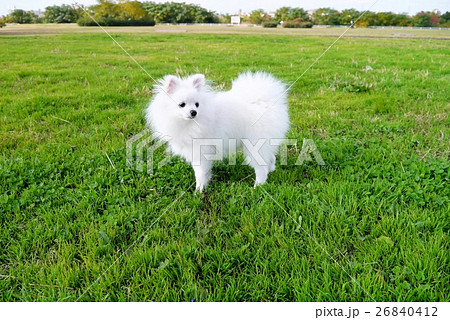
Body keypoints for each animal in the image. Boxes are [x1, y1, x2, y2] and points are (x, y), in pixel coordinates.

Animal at [146, 72, 290, 192]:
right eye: (182, 104)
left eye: (197, 104)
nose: (193, 112)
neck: (189, 124)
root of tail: (264, 102)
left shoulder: (201, 151)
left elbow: (200, 173)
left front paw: (198, 191)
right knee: (270, 158)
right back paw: (271, 171)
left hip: (255, 144)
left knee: (261, 168)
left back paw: (258, 186)